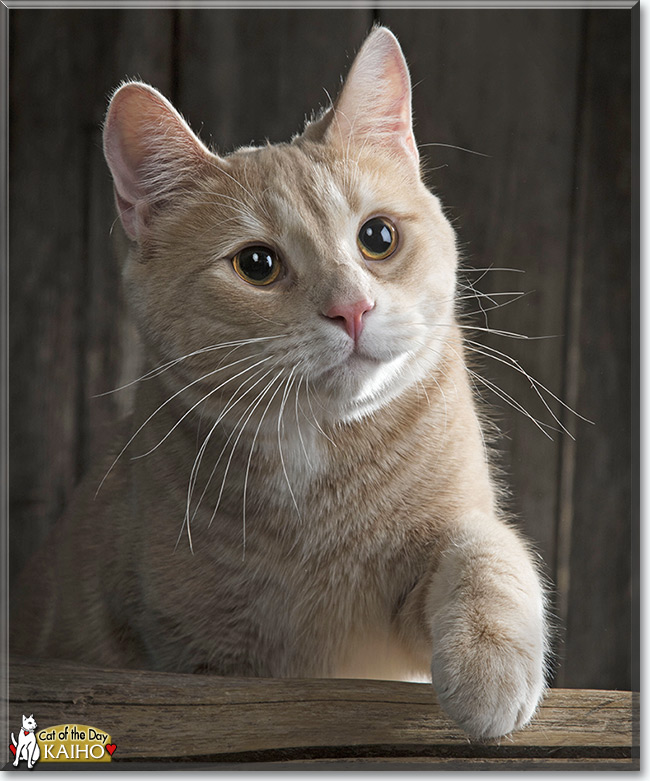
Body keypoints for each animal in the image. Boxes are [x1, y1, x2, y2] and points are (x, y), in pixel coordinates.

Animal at [11, 27, 548, 740]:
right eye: (258, 264)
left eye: (378, 237)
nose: (352, 308)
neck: (321, 467)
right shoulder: (195, 651)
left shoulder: (439, 554)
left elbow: (487, 549)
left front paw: (490, 666)